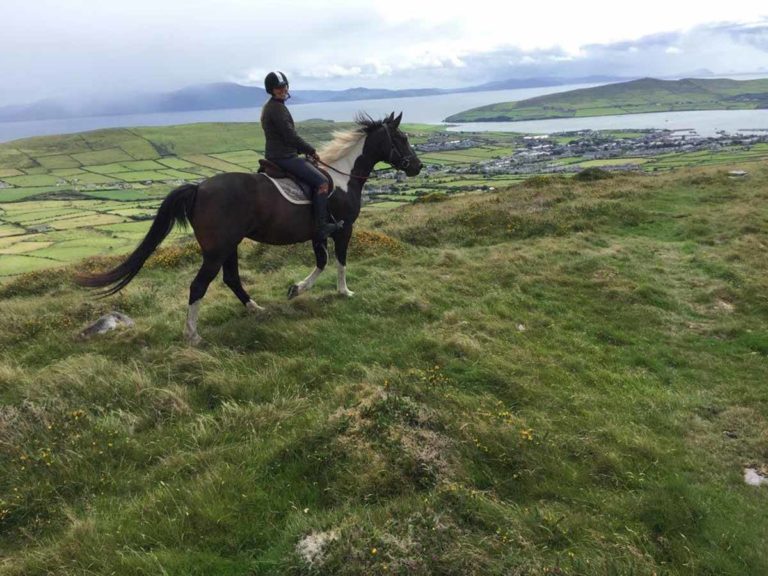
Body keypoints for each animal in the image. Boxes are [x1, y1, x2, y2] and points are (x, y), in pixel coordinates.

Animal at [77, 111, 424, 344]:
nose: (418, 166)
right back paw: (193, 335)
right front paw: (343, 291)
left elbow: (322, 262)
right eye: (402, 138)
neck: (341, 177)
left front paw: (296, 289)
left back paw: (255, 308)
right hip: (217, 250)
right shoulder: (343, 228)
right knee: (198, 286)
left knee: (231, 278)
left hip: (229, 245)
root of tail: (199, 188)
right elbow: (338, 261)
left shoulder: (317, 233)